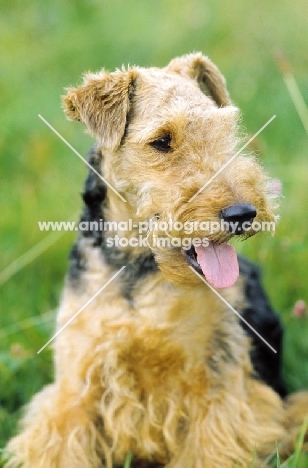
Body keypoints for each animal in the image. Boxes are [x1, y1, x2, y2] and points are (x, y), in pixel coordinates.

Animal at [5, 53, 308, 466]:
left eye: (225, 130)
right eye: (162, 141)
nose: (243, 212)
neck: (140, 267)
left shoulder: (217, 386)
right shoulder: (76, 386)